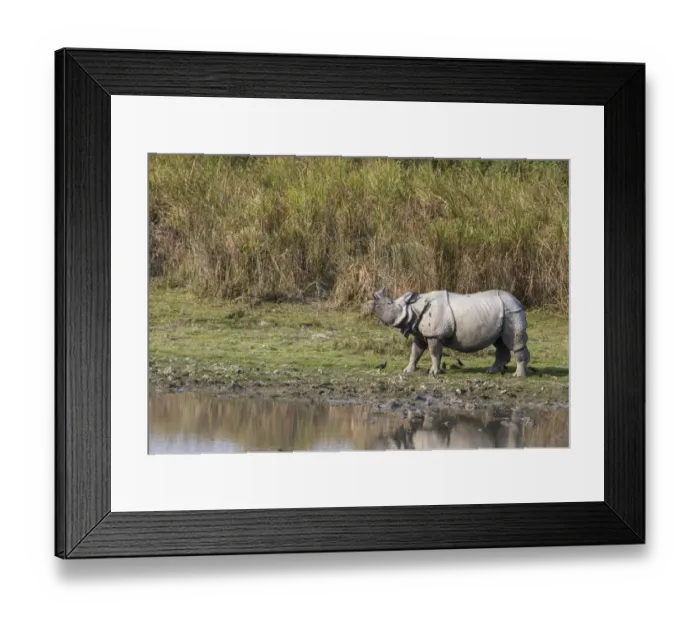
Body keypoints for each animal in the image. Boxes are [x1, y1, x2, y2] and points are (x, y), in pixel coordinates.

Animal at [368, 288, 530, 377]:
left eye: (389, 304)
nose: (371, 304)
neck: (413, 307)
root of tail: (517, 301)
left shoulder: (435, 333)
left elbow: (434, 352)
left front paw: (434, 372)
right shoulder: (422, 333)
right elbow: (415, 352)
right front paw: (407, 371)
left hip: (512, 312)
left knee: (513, 342)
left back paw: (518, 375)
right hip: (504, 313)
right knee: (500, 343)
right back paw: (491, 371)